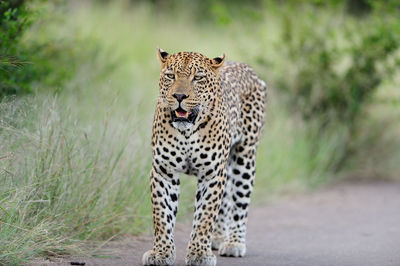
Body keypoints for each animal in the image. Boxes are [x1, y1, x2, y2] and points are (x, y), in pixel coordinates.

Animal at [142, 48, 268, 264]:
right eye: (171, 76)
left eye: (198, 78)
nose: (179, 95)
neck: (187, 131)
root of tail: (249, 69)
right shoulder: (164, 172)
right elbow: (162, 215)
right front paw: (161, 253)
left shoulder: (212, 174)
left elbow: (205, 216)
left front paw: (199, 253)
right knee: (225, 200)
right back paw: (217, 238)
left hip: (244, 157)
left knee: (240, 202)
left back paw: (234, 243)